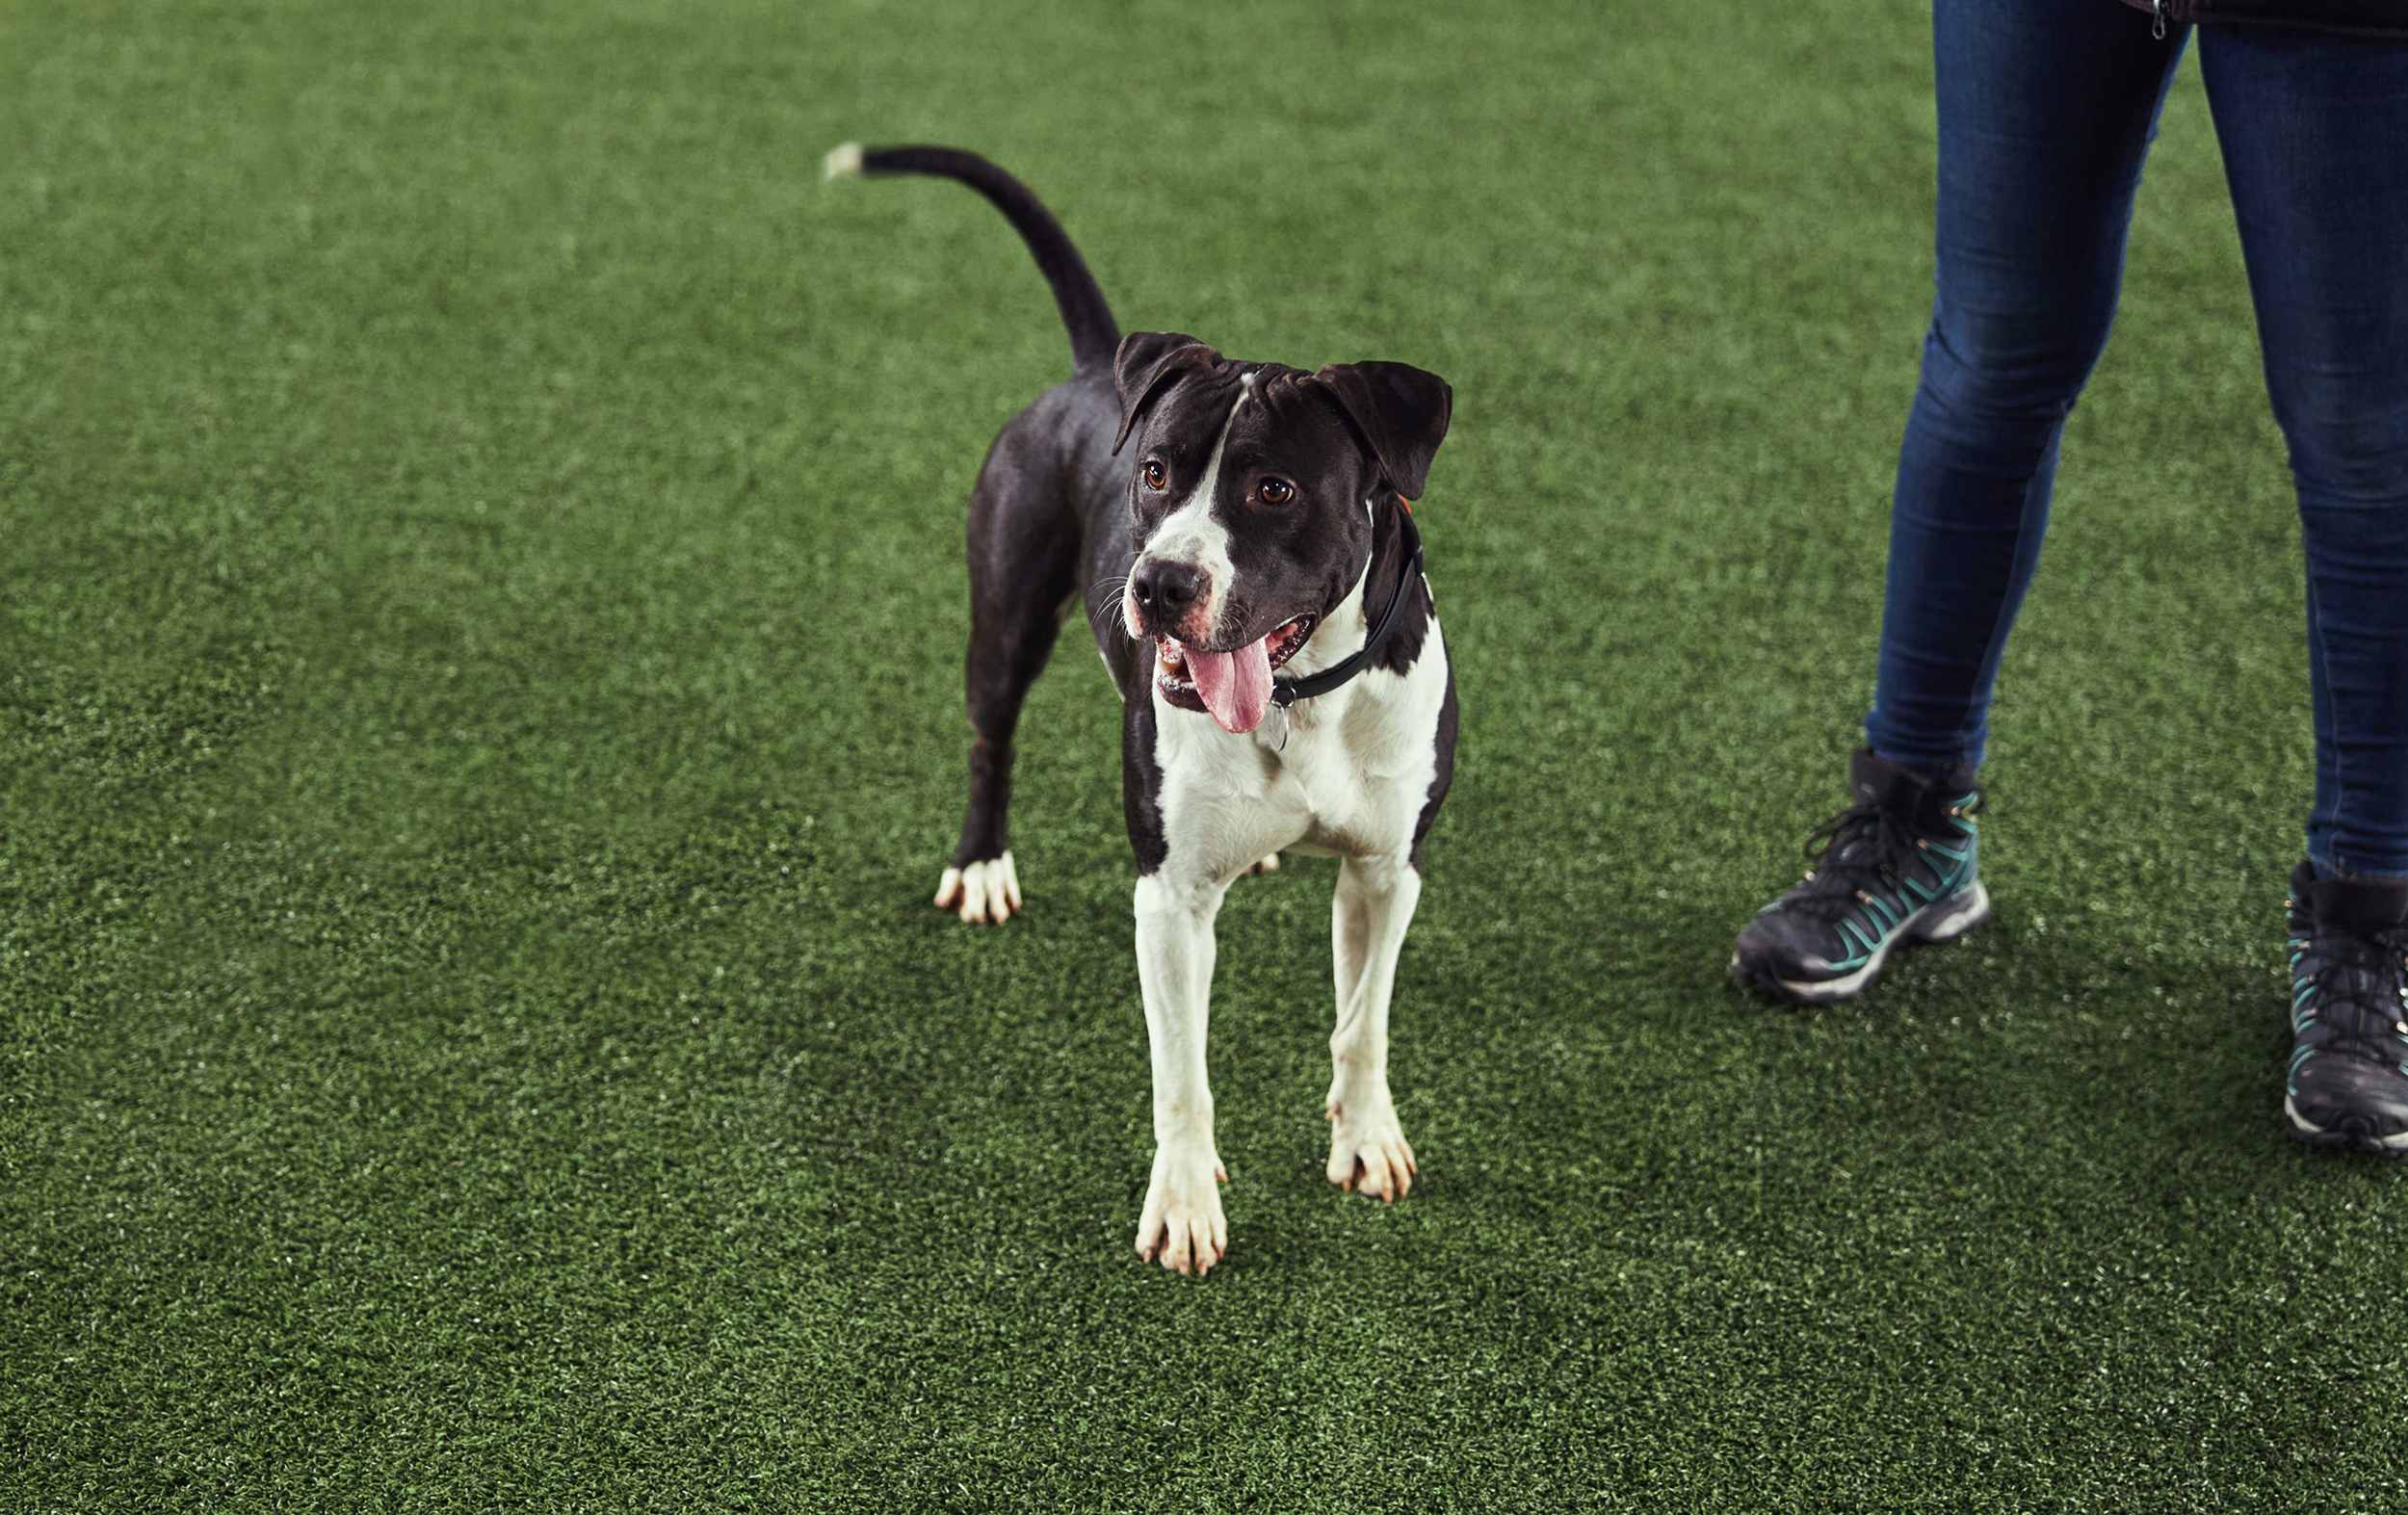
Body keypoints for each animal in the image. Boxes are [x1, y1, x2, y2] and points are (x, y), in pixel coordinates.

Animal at [828, 144, 1464, 1271]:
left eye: (1274, 490)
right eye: (1157, 472)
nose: (1160, 582)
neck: (1302, 700)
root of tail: (1094, 370)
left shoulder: (1388, 870)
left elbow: (1363, 1021)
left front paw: (1366, 1137)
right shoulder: (1166, 901)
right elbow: (1182, 1075)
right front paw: (1184, 1201)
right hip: (1003, 627)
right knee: (990, 740)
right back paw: (981, 864)